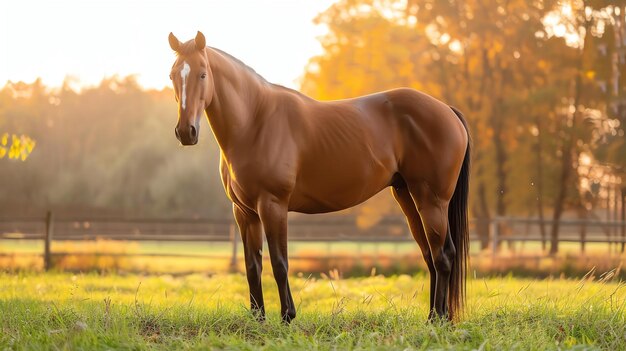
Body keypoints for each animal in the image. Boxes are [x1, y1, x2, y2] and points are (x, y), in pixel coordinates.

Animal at [166, 31, 468, 324]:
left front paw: (287, 317)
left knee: (443, 256)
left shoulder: (272, 205)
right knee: (430, 255)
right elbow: (253, 265)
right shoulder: (244, 211)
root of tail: (447, 110)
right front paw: (258, 318)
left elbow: (280, 263)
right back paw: (434, 316)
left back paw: (438, 320)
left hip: (431, 201)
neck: (255, 122)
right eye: (172, 75)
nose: (185, 131)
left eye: (202, 74)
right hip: (408, 196)